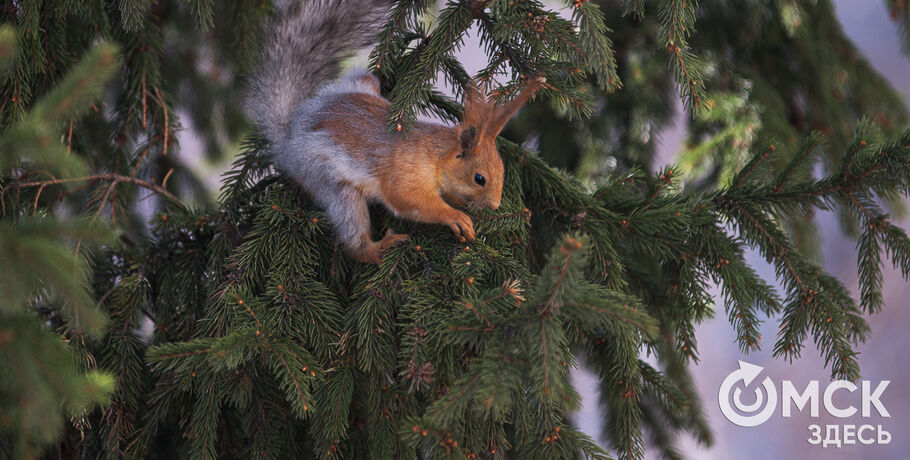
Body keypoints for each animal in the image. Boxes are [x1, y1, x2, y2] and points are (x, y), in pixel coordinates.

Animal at [246, 0, 544, 264]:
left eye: (502, 170)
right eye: (479, 178)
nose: (495, 205)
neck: (437, 156)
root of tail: (294, 131)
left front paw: (457, 201)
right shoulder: (405, 173)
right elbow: (409, 201)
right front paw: (454, 216)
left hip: (362, 82)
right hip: (327, 179)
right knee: (352, 234)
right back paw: (377, 249)